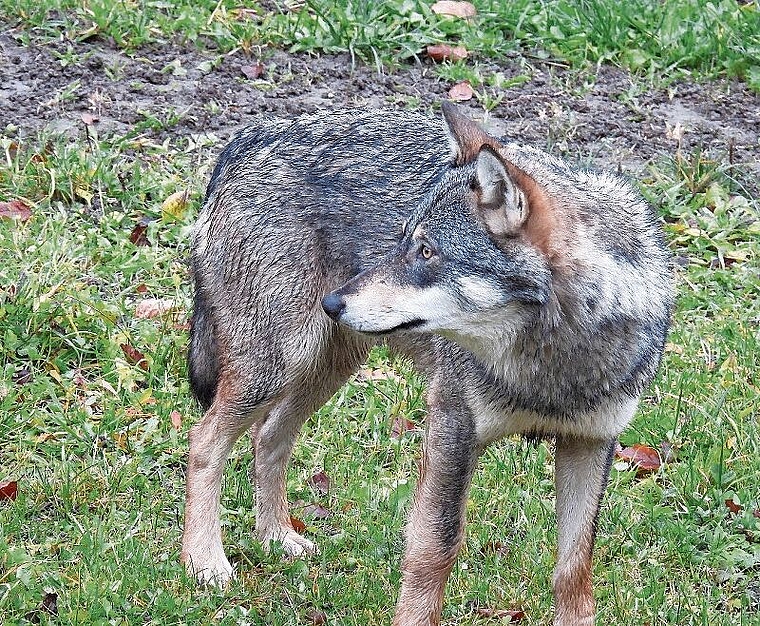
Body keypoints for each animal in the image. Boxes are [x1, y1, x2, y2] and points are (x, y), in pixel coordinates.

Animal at [180, 103, 672, 624]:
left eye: (426, 251)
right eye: (404, 243)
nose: (332, 302)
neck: (551, 367)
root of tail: (248, 138)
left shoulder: (590, 443)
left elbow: (574, 567)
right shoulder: (452, 431)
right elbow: (435, 549)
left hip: (324, 368)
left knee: (268, 438)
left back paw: (276, 537)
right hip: (277, 366)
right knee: (205, 440)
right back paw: (204, 560)